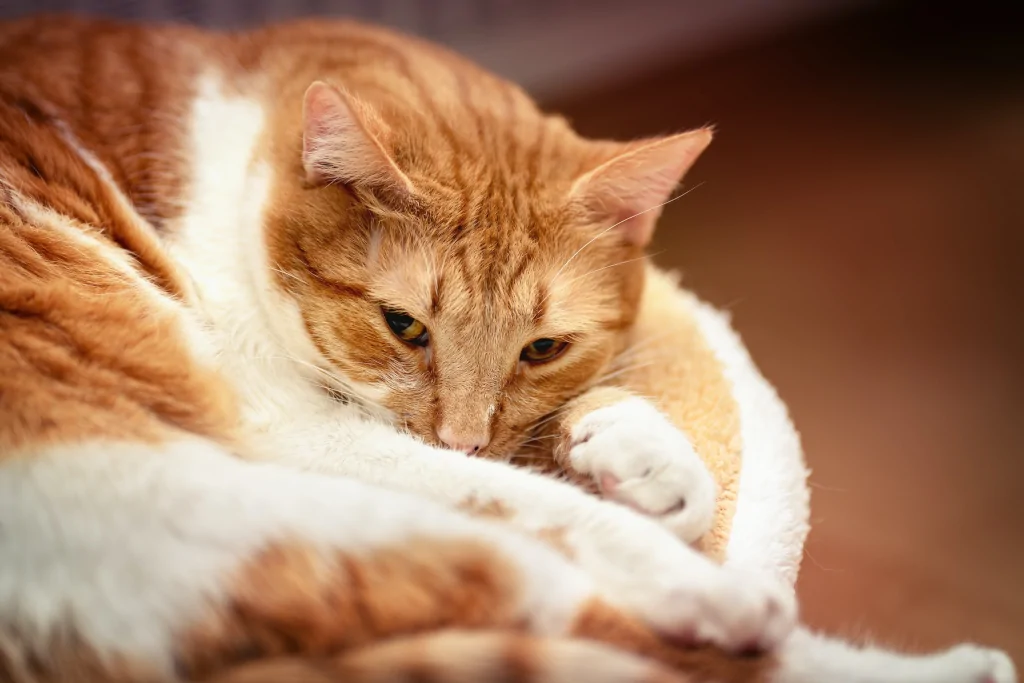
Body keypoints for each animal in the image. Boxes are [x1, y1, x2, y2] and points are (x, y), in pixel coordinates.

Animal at [0, 12, 1011, 683]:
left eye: (543, 348)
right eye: (404, 326)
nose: (461, 437)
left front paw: (646, 461)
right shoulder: (295, 424)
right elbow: (535, 498)